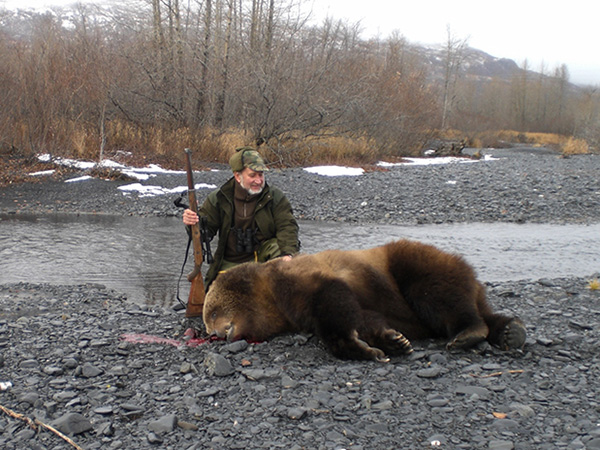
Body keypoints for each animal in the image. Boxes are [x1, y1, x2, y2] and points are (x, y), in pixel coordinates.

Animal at [204, 239, 528, 362]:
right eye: (208, 321)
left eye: (213, 312)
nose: (216, 333)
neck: (270, 299)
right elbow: (366, 317)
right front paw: (393, 340)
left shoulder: (298, 281)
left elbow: (332, 303)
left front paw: (360, 347)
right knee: (480, 307)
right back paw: (510, 331)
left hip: (409, 263)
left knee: (439, 293)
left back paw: (467, 333)